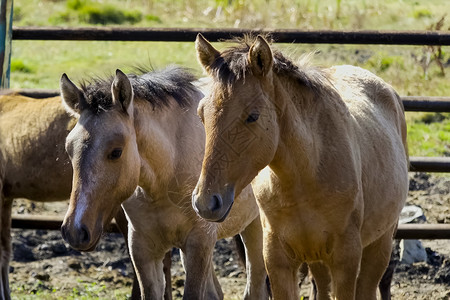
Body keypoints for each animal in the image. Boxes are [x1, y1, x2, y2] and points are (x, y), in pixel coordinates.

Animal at [192, 33, 410, 300]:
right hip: (318, 260)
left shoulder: (346, 261)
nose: (206, 202)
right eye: (202, 114)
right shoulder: (279, 262)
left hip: (380, 244)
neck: (305, 176)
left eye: (252, 116)